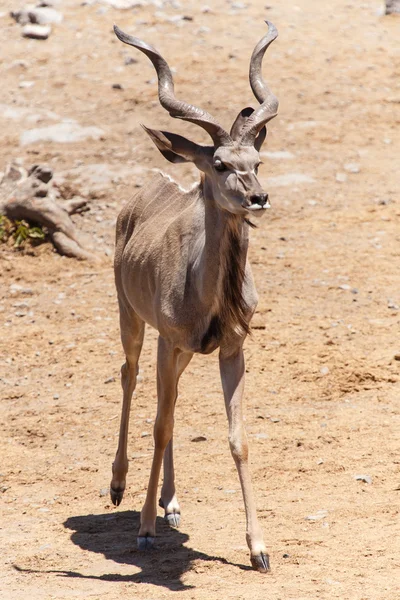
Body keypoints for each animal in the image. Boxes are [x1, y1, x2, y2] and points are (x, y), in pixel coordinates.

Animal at [109, 19, 278, 572]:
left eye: (257, 159)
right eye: (220, 163)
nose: (258, 197)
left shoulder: (231, 348)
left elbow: (237, 437)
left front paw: (259, 549)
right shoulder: (167, 339)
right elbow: (159, 425)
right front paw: (143, 531)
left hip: (180, 351)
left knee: (173, 399)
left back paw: (173, 502)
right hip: (133, 320)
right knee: (132, 377)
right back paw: (118, 486)